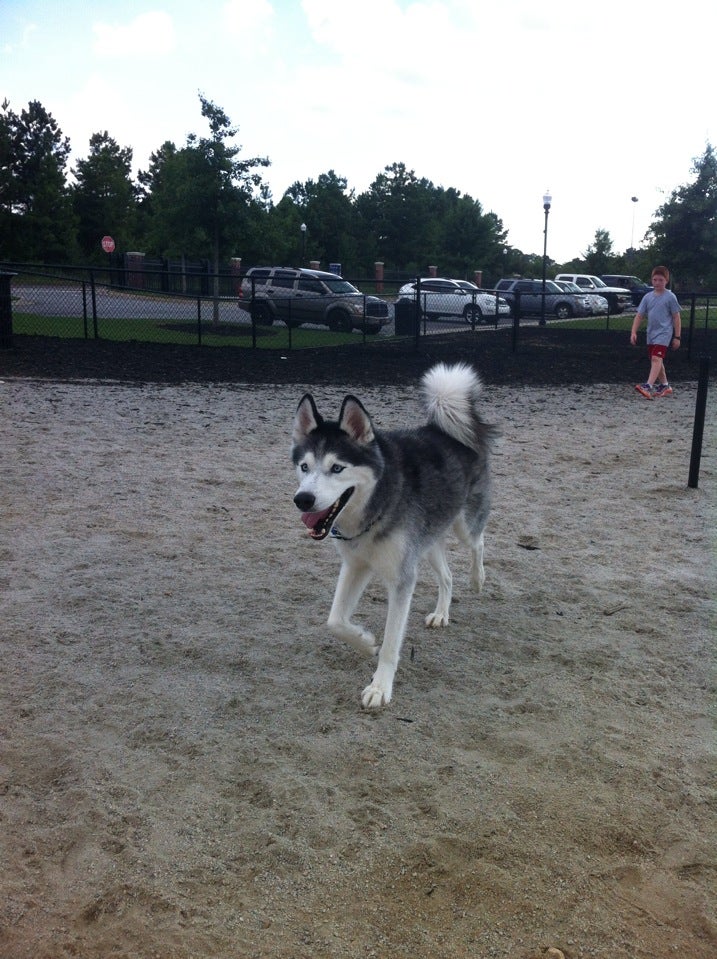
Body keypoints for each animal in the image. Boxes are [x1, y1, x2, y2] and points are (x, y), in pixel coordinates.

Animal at [290, 364, 498, 708]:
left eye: (337, 468)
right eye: (304, 466)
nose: (303, 499)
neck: (379, 501)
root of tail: (444, 428)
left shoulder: (402, 579)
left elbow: (390, 643)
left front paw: (380, 687)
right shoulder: (356, 565)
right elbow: (335, 621)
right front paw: (364, 641)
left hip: (464, 526)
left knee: (478, 543)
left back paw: (478, 579)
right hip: (427, 542)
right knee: (447, 576)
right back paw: (442, 613)